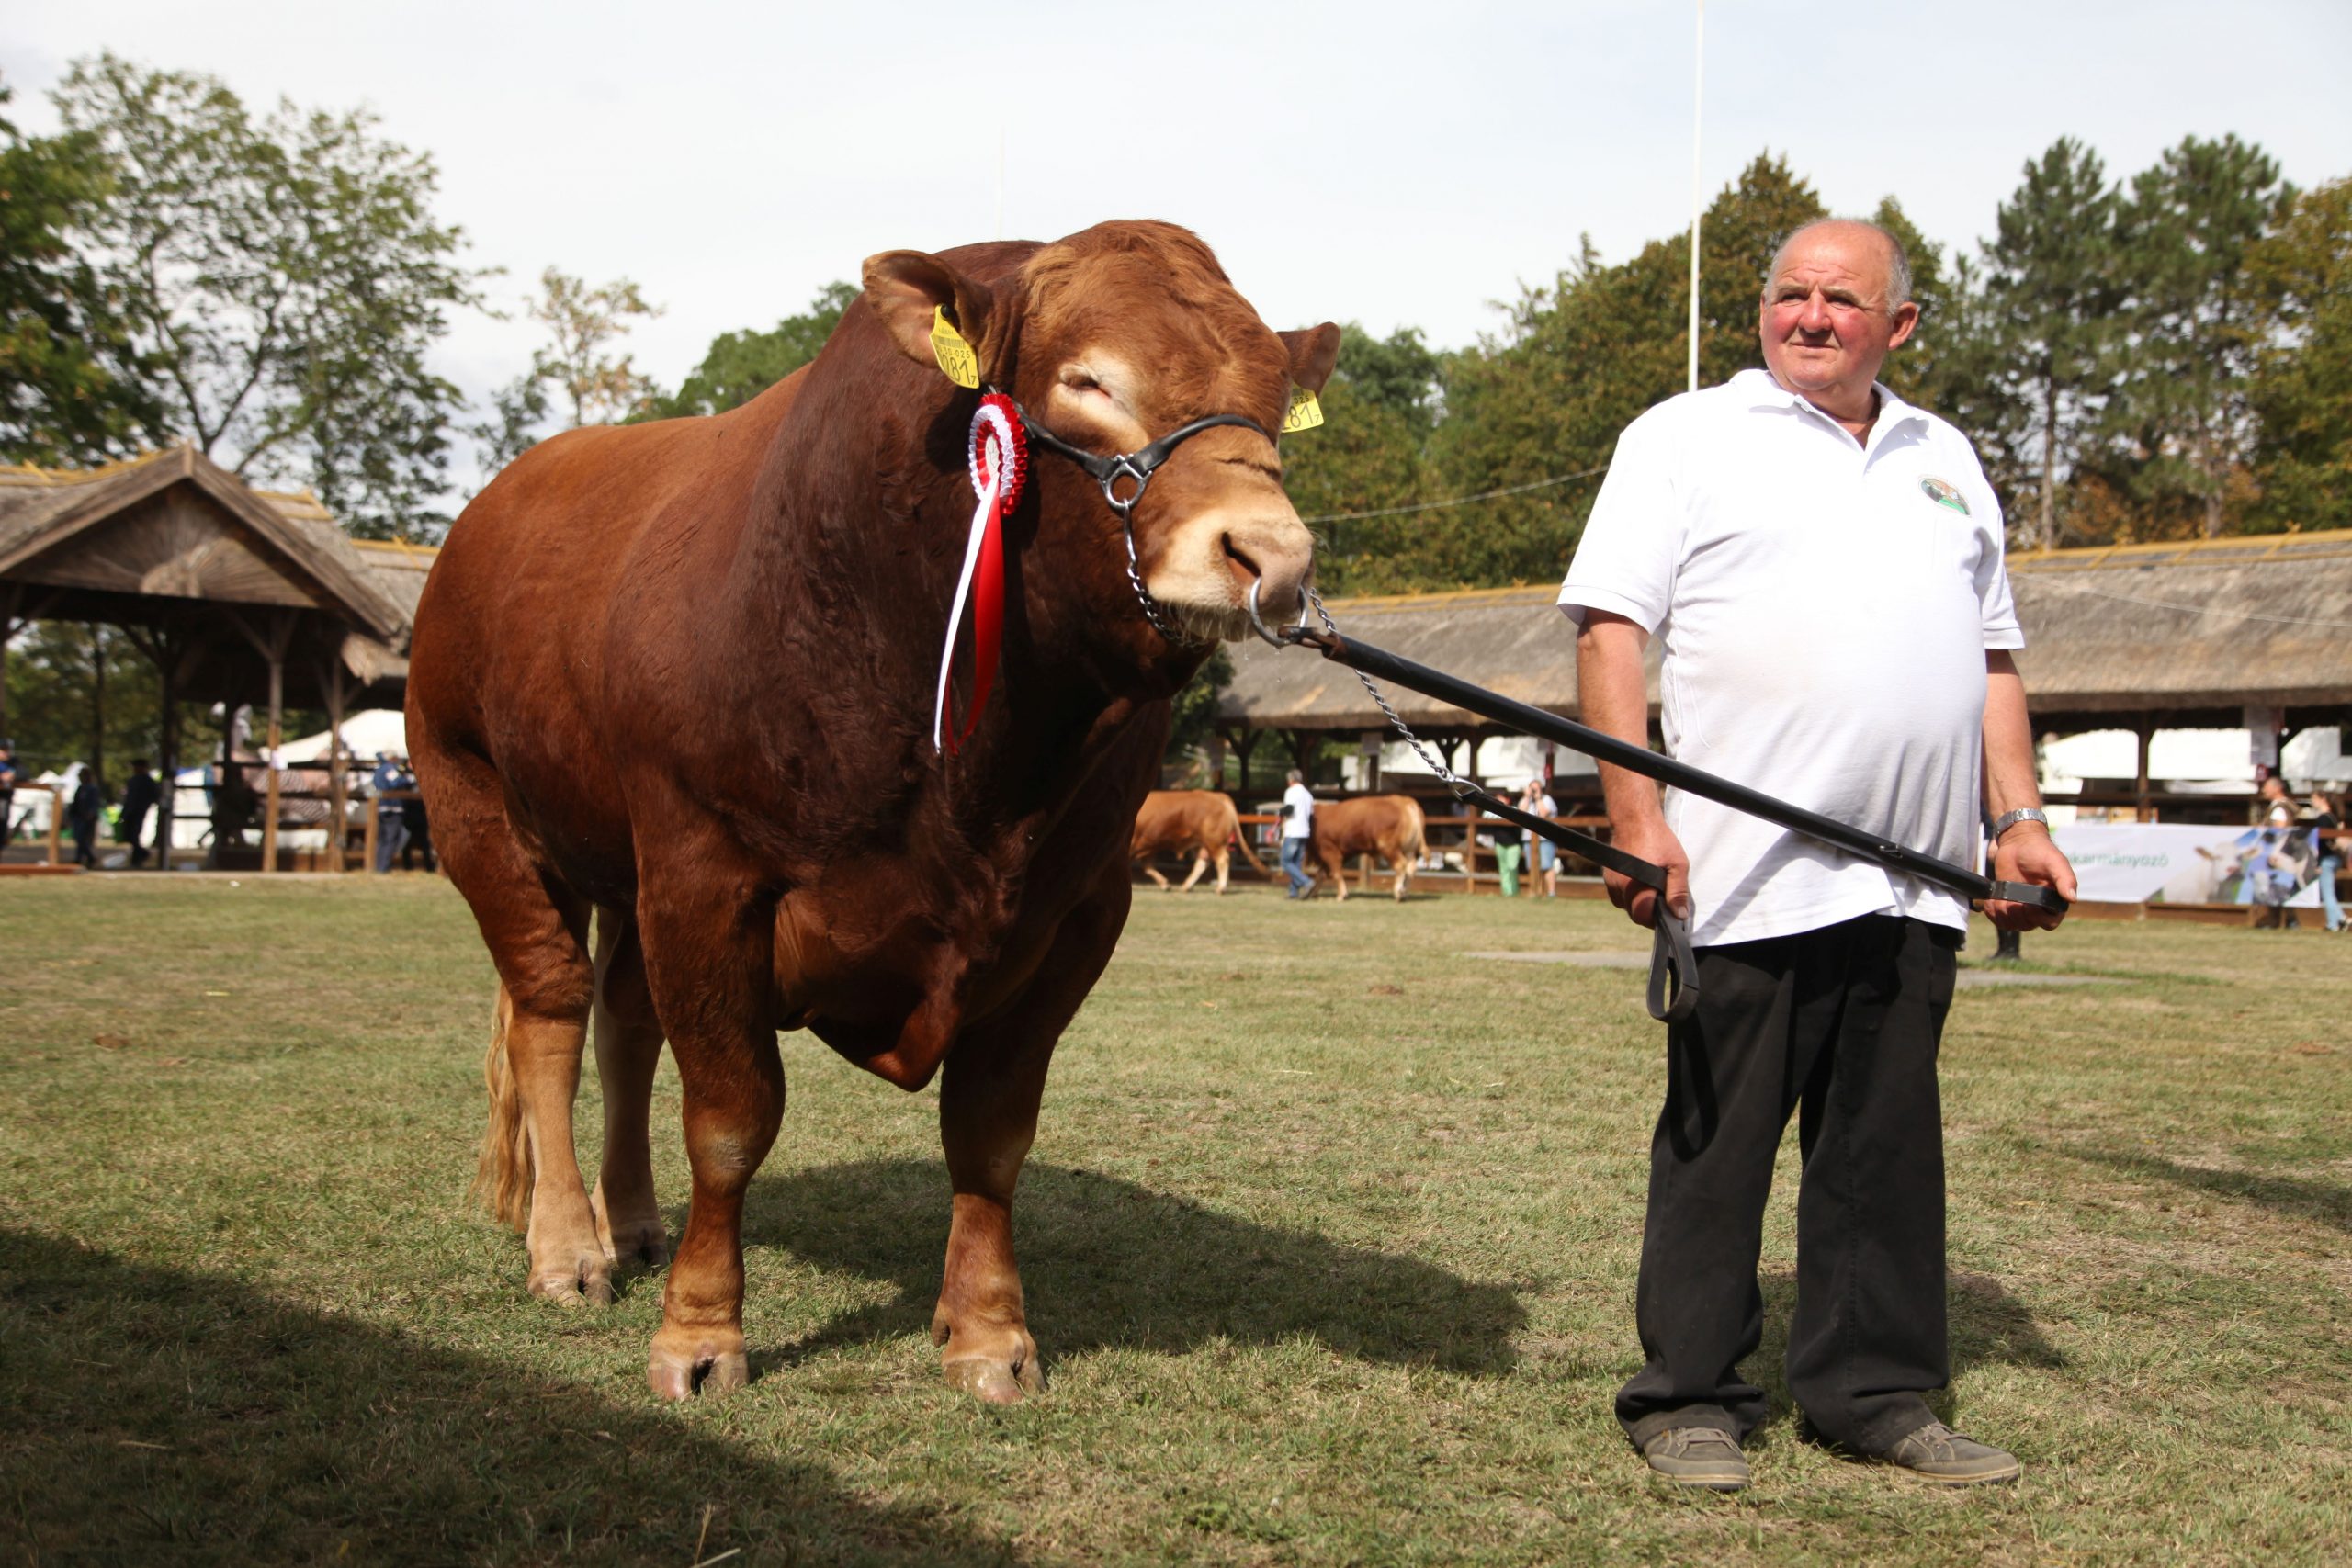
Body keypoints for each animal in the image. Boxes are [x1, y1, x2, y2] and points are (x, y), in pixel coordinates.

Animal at [1124, 784, 1250, 893]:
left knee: (1222, 859)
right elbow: (1148, 867)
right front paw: (1165, 884)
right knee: (1202, 863)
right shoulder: (1147, 845)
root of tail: (1216, 796)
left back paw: (1221, 888)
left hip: (1214, 842)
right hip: (1201, 843)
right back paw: (1187, 886)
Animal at [1307, 799, 1430, 907]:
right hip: (1409, 850)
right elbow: (1321, 874)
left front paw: (1341, 895)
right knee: (1411, 868)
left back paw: (1399, 893)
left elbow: (1336, 873)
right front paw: (1313, 892)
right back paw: (1405, 894)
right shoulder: (1338, 854)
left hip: (1390, 848)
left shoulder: (1329, 850)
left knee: (1400, 865)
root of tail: (1405, 803)